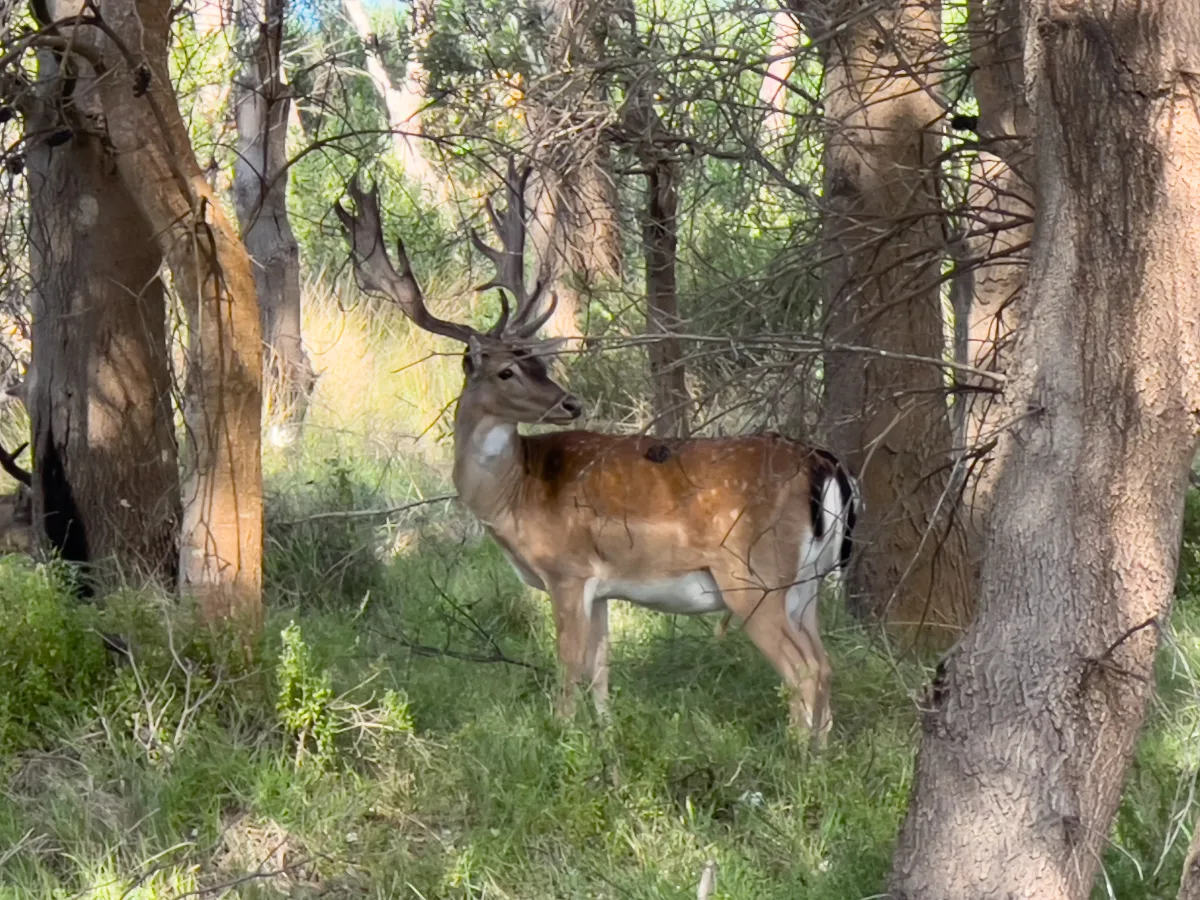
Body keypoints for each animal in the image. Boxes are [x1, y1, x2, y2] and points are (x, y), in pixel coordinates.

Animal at [334, 162, 859, 747]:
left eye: (533, 361)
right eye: (510, 368)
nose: (570, 402)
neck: (514, 496)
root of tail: (826, 465)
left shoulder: (566, 570)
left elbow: (570, 665)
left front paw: (560, 738)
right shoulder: (605, 587)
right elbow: (603, 671)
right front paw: (605, 740)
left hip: (753, 576)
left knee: (804, 669)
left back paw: (798, 755)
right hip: (807, 583)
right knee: (827, 662)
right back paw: (823, 752)